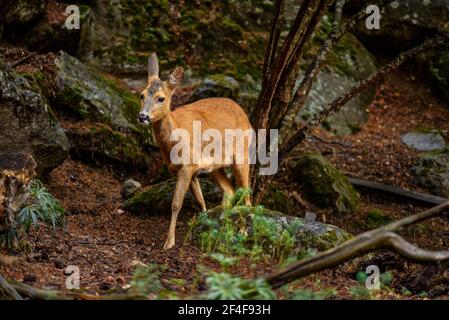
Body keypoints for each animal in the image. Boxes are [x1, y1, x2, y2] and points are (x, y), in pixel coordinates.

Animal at [137, 52, 252, 249]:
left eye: (161, 98)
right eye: (142, 95)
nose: (142, 116)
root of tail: (245, 115)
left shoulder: (187, 165)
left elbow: (176, 203)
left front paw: (169, 242)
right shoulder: (187, 169)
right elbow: (200, 200)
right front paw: (200, 225)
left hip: (242, 155)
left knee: (247, 196)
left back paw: (244, 233)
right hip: (216, 167)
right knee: (230, 192)